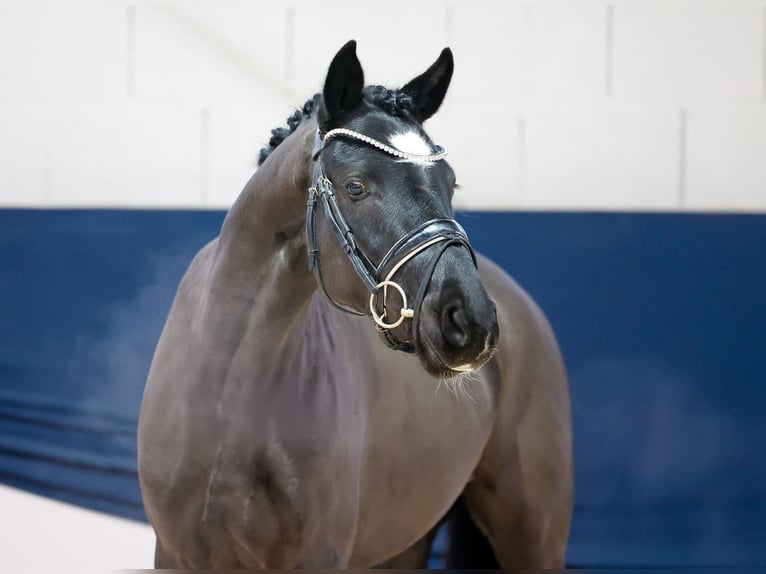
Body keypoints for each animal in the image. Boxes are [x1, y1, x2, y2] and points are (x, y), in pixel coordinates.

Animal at [138, 41, 572, 572]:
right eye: (356, 186)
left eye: (450, 183)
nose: (470, 320)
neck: (230, 401)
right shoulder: (174, 553)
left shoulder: (317, 557)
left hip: (533, 539)